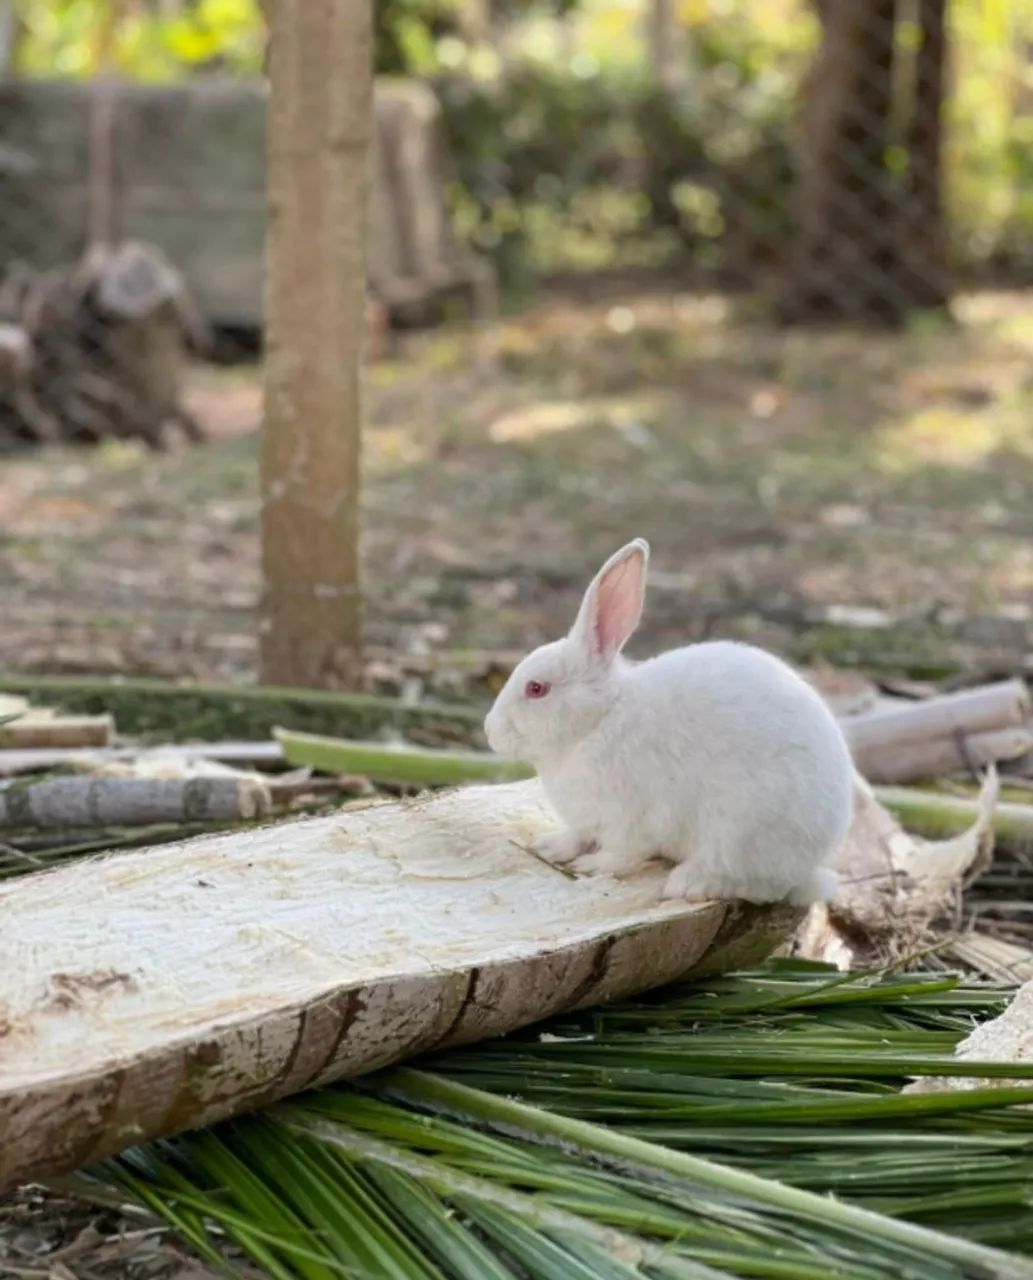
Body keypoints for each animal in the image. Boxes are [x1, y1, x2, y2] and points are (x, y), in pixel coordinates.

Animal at [483, 539, 854, 904]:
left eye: (536, 688)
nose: (490, 732)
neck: (599, 720)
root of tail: (812, 863)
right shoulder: (590, 819)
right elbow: (578, 834)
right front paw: (549, 846)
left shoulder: (632, 818)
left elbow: (622, 853)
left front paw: (591, 866)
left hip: (742, 831)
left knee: (756, 886)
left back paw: (688, 884)